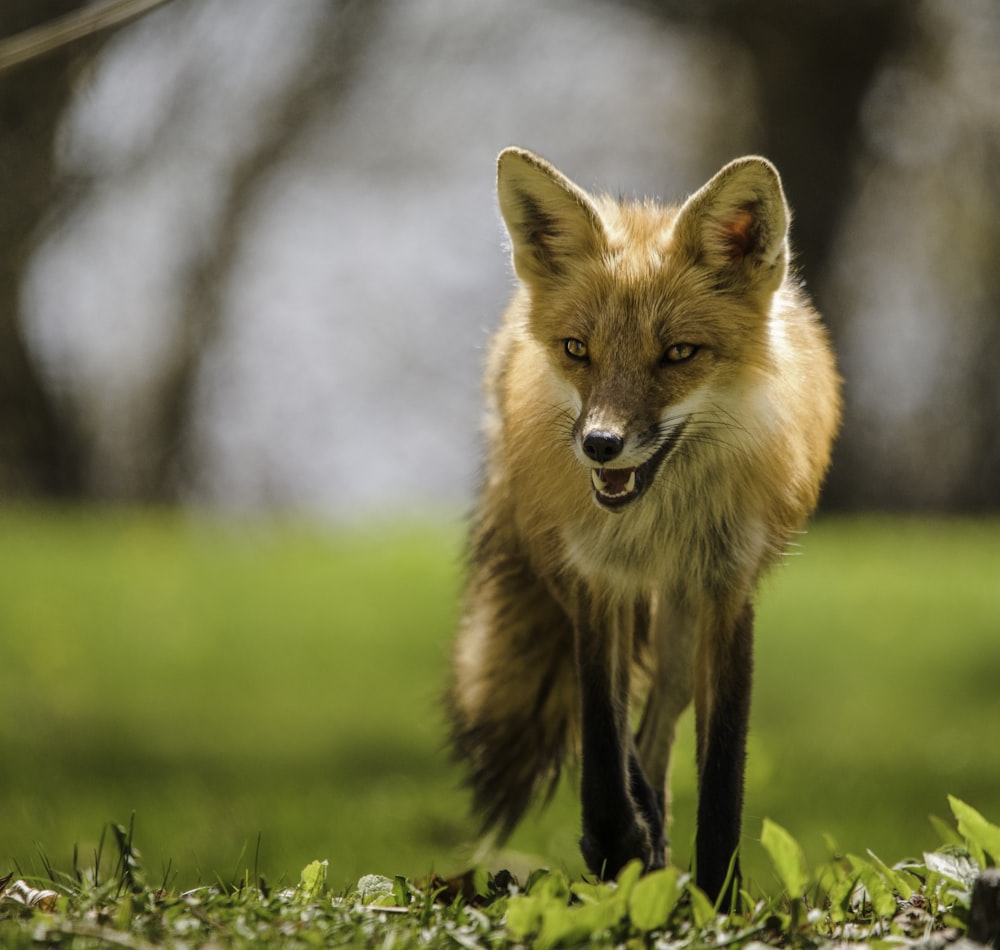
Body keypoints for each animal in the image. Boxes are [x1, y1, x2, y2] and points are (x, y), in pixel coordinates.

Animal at [448, 145, 844, 904]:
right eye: (578, 349)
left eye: (679, 354)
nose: (600, 445)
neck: (657, 521)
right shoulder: (592, 580)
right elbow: (602, 734)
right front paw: (616, 841)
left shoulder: (726, 589)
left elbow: (720, 769)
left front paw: (719, 895)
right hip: (578, 578)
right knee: (619, 721)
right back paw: (640, 844)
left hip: (679, 620)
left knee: (662, 715)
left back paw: (657, 842)